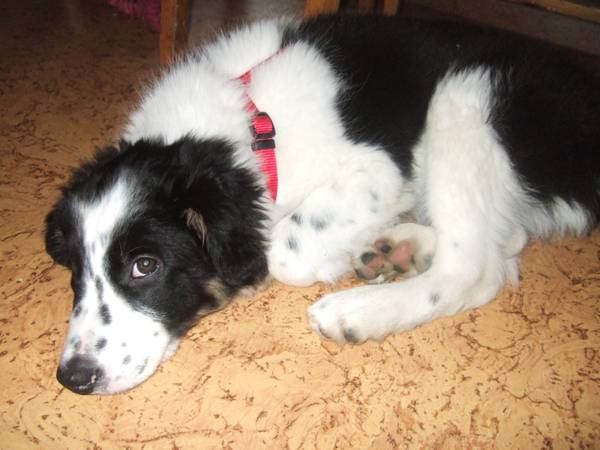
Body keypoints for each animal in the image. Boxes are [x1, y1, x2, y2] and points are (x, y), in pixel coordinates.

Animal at [45, 15, 600, 394]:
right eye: (75, 270)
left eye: (146, 266)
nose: (74, 378)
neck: (253, 132)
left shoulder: (376, 170)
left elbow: (284, 250)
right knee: (506, 240)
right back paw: (398, 248)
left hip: (466, 96)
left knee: (475, 270)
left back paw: (359, 310)